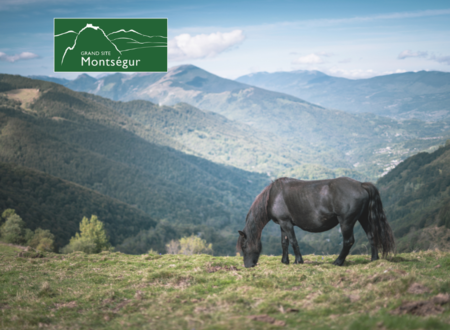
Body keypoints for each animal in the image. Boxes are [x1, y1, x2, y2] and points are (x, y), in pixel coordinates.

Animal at [237, 177, 396, 266]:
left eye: (244, 246)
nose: (248, 266)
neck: (273, 196)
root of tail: (361, 185)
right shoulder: (283, 224)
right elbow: (284, 243)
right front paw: (285, 261)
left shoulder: (286, 223)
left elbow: (293, 241)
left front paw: (298, 261)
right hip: (363, 218)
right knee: (371, 236)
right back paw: (374, 259)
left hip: (346, 222)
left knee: (348, 241)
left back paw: (338, 262)